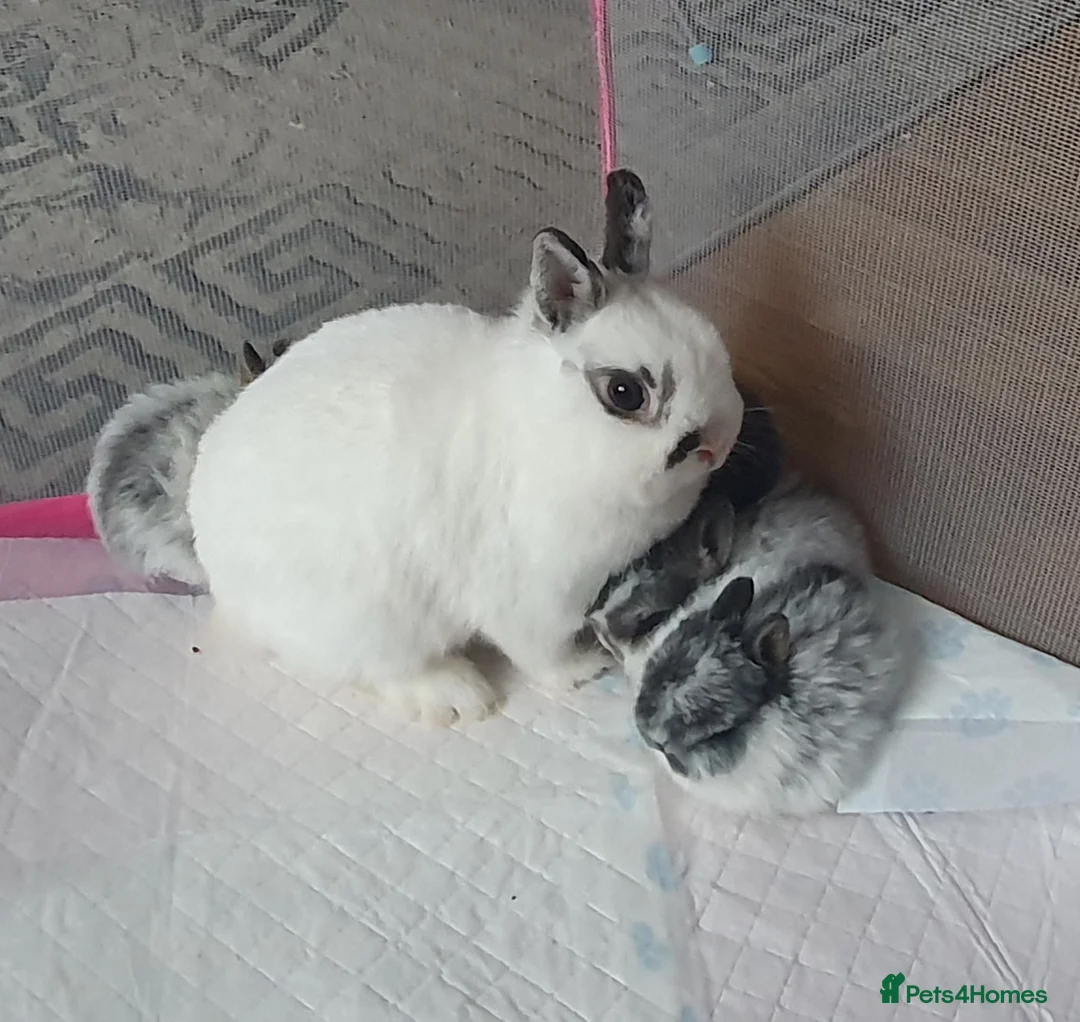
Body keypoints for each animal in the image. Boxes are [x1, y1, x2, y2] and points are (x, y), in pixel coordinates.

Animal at [179, 169, 745, 726]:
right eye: (625, 392)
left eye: (713, 339)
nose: (716, 446)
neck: (547, 429)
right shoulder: (534, 597)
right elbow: (541, 653)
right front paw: (585, 668)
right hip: (372, 624)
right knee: (384, 670)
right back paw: (459, 695)